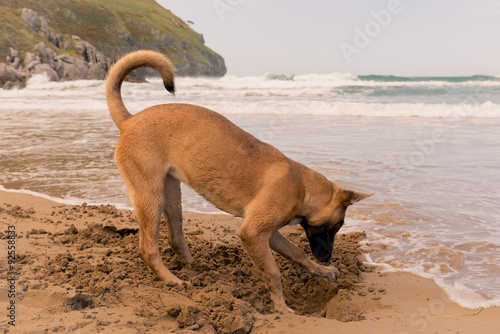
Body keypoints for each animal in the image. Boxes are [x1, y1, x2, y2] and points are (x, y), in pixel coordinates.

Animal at [104, 50, 372, 314]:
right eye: (337, 226)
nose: (327, 258)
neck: (303, 187)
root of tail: (129, 120)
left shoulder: (268, 234)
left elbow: (297, 253)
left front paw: (322, 271)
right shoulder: (252, 233)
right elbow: (274, 271)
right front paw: (282, 308)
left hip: (171, 193)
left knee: (176, 238)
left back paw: (198, 267)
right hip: (151, 195)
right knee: (148, 249)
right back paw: (173, 280)